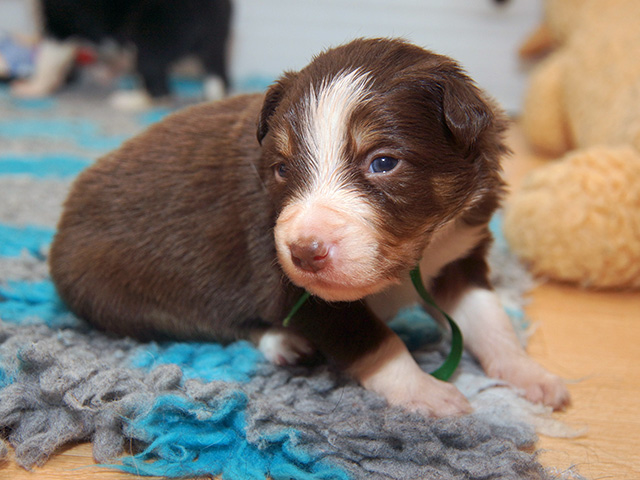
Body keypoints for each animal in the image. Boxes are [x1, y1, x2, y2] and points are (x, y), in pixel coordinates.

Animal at [11, 0, 232, 109]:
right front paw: (107, 72)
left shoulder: (61, 23)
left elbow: (48, 57)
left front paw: (34, 86)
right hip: (217, 39)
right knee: (219, 74)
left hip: (150, 36)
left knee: (159, 88)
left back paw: (131, 100)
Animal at [49, 38, 570, 417]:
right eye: (282, 168)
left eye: (383, 162)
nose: (303, 251)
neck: (417, 254)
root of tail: (65, 213)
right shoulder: (299, 291)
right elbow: (376, 340)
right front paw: (427, 392)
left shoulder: (458, 252)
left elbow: (490, 319)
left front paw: (532, 376)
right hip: (121, 295)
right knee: (214, 324)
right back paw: (284, 342)